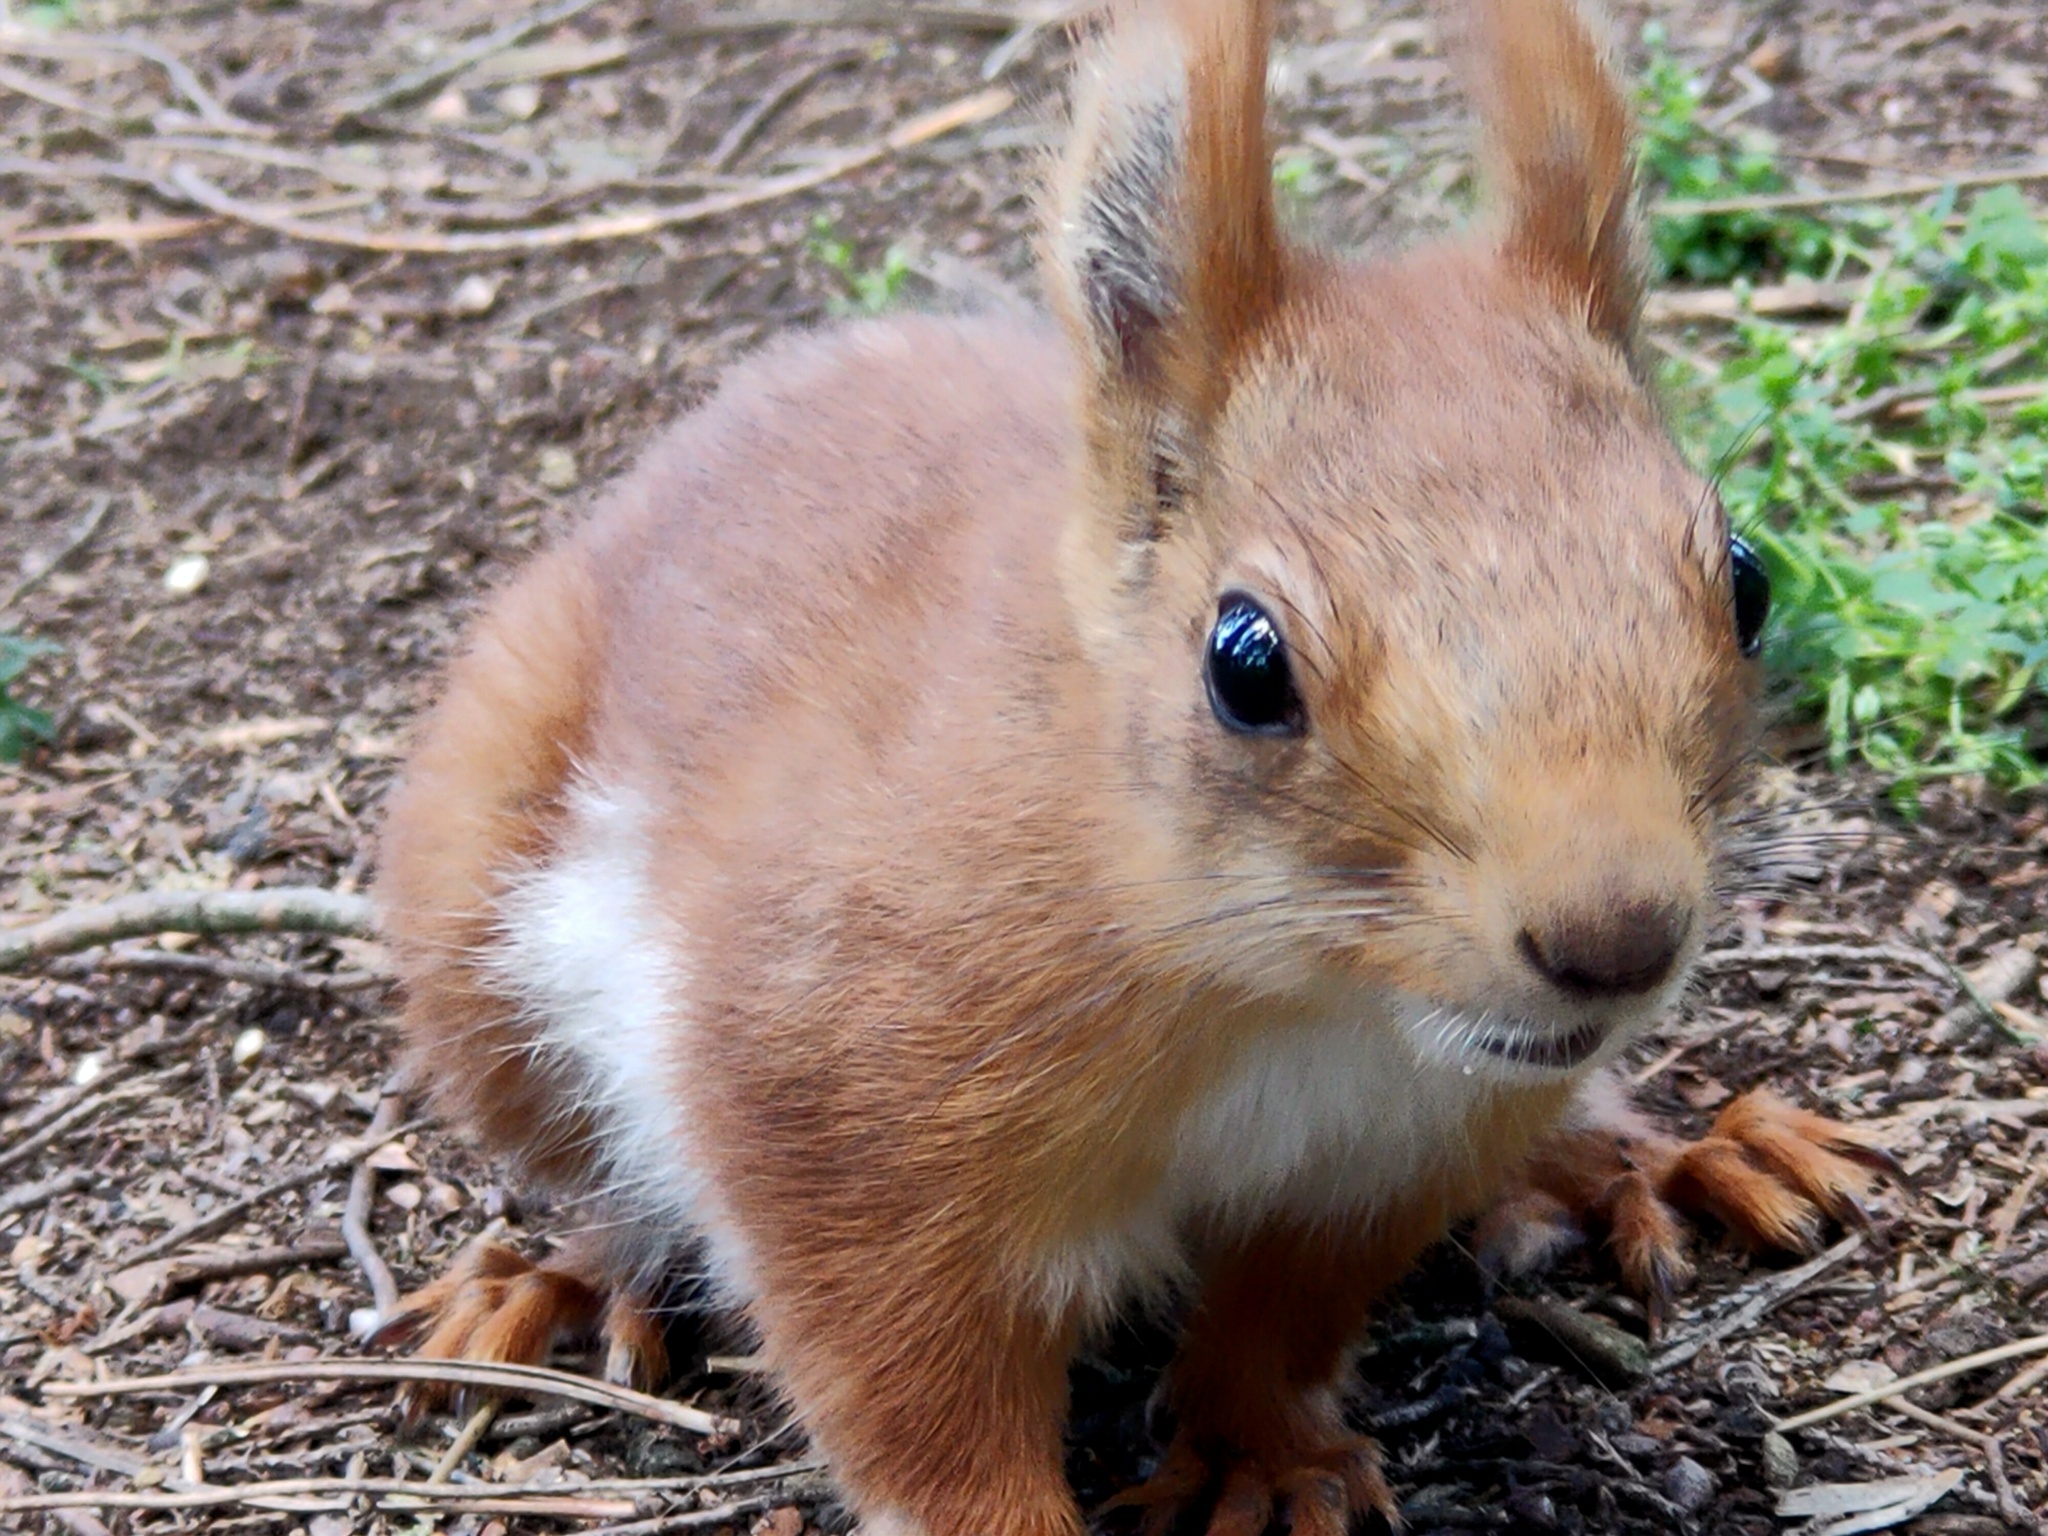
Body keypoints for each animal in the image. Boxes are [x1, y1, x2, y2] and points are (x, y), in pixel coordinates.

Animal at [372, 6, 1884, 1531]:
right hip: (478, 924)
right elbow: (916, 1401)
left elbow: (1279, 1328)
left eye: (1747, 579)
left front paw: (1261, 1454)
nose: (1614, 936)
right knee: (600, 1168)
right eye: (1246, 661)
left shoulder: (1391, 1162)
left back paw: (1664, 1153)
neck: (1291, 994)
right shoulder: (826, 1098)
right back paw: (575, 1277)